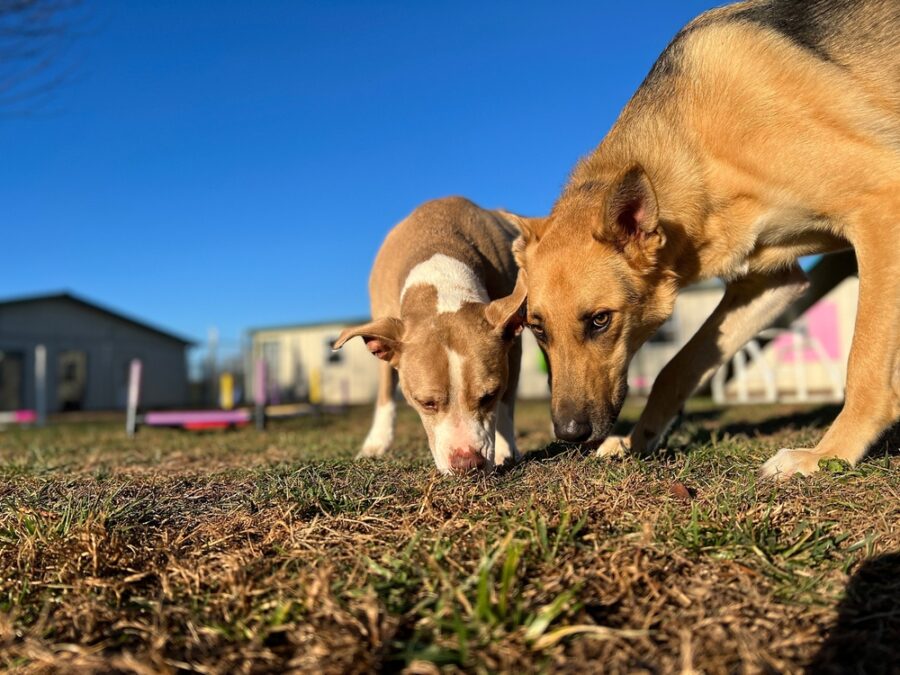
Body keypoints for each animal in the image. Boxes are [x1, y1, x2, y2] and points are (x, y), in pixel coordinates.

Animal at [330, 195, 528, 476]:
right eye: (426, 403)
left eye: (489, 396)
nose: (467, 463)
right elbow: (385, 391)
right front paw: (376, 444)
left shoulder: (513, 347)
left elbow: (506, 404)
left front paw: (505, 450)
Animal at [512, 0, 900, 478]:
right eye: (537, 329)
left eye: (600, 320)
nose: (568, 435)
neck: (696, 146)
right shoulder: (771, 283)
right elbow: (676, 369)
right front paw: (638, 440)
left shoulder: (882, 205)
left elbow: (864, 363)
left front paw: (829, 454)